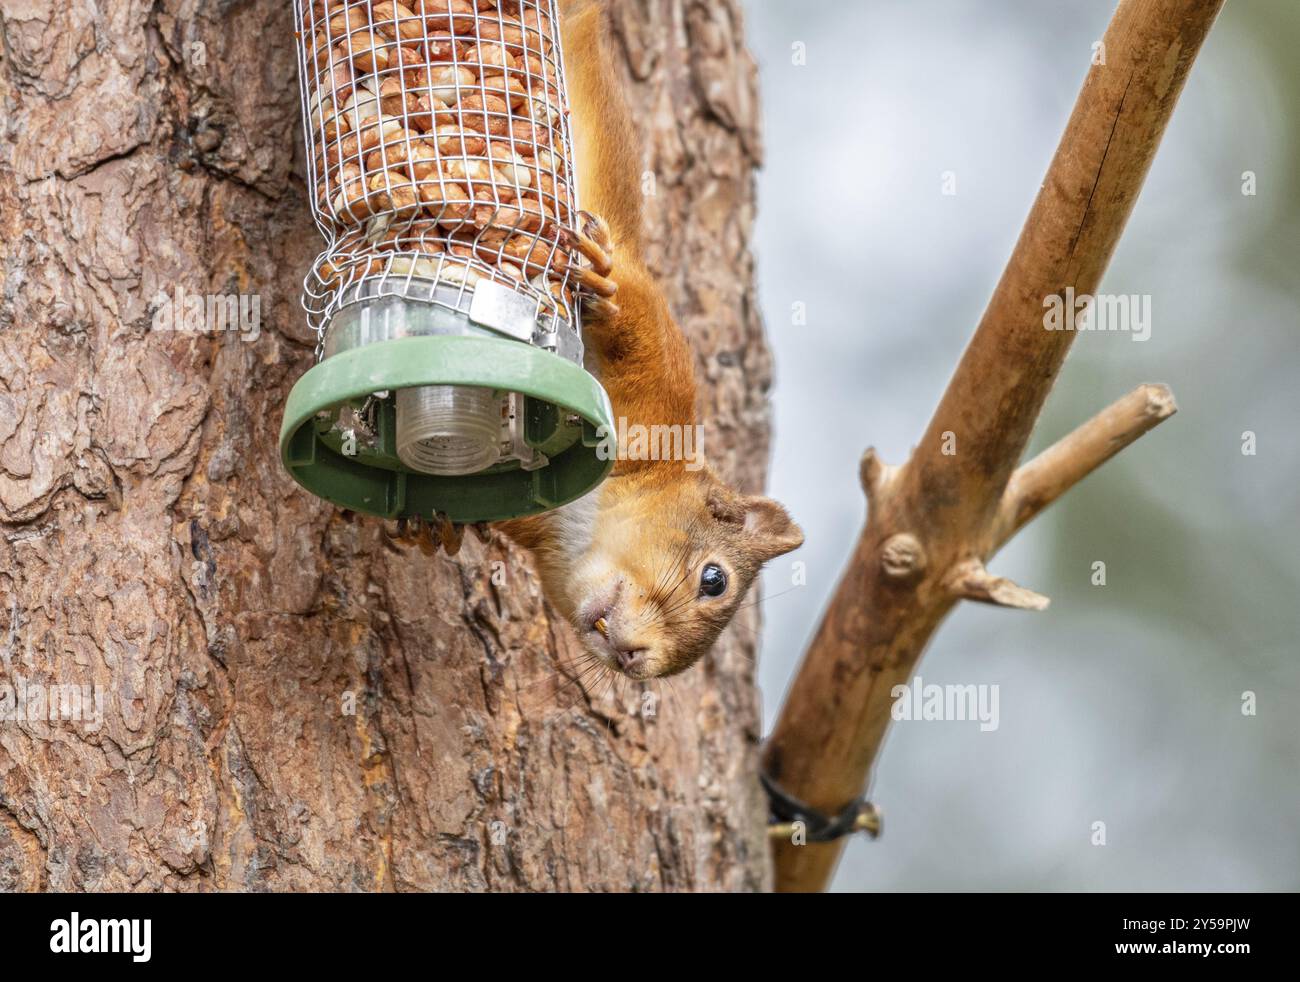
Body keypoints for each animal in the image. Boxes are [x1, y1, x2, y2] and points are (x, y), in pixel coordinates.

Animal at [495, 0, 803, 679]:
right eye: (714, 579)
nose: (636, 660)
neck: (586, 515)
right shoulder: (662, 390)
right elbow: (634, 331)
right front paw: (603, 293)